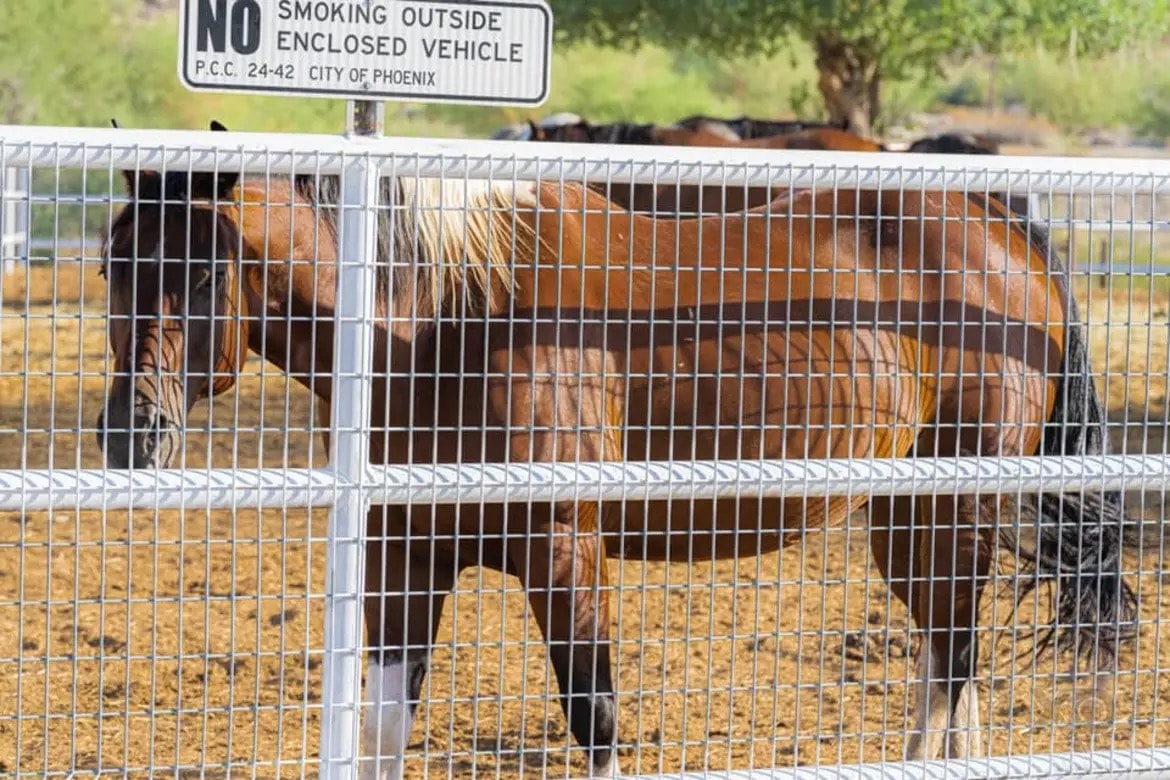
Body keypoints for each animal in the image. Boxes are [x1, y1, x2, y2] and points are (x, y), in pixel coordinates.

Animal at [95, 119, 1138, 779]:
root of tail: (1002, 226)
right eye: (111, 264)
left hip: (954, 506)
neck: (440, 318)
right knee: (943, 662)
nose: (128, 434)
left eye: (200, 272)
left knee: (952, 658)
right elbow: (386, 727)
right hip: (907, 514)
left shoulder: (565, 553)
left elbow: (593, 721)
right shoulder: (404, 556)